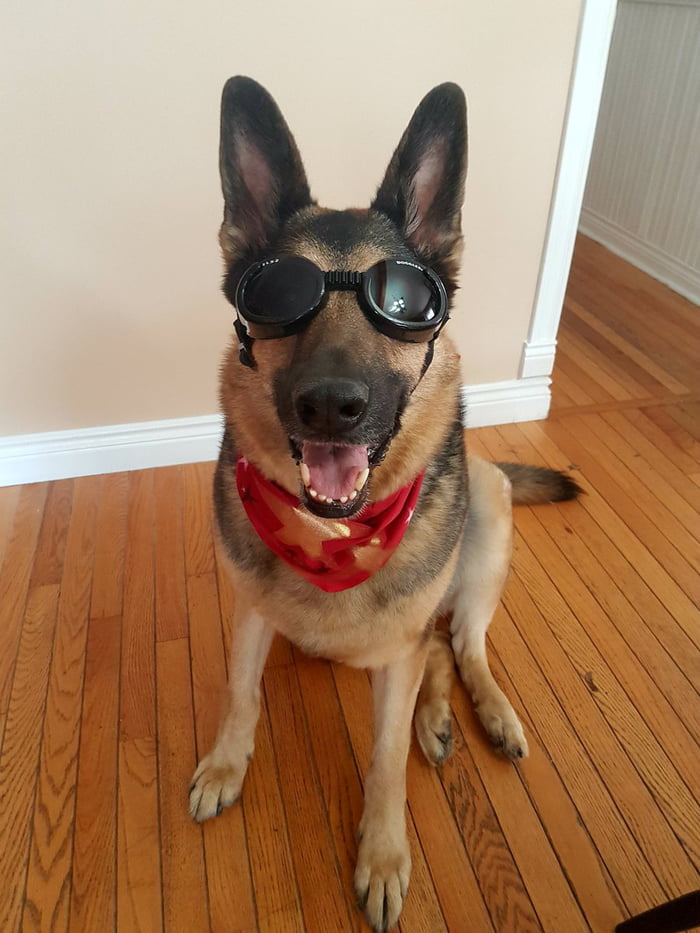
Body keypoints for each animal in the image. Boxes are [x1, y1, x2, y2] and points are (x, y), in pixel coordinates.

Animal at [189, 76, 584, 928]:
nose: (330, 405)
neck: (332, 535)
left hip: (488, 508)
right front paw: (228, 764)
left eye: (405, 302)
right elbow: (239, 694)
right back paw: (437, 716)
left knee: (459, 641)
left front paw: (382, 852)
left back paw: (480, 712)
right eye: (276, 294)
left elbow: (385, 756)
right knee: (434, 645)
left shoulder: (394, 663)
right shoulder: (250, 611)